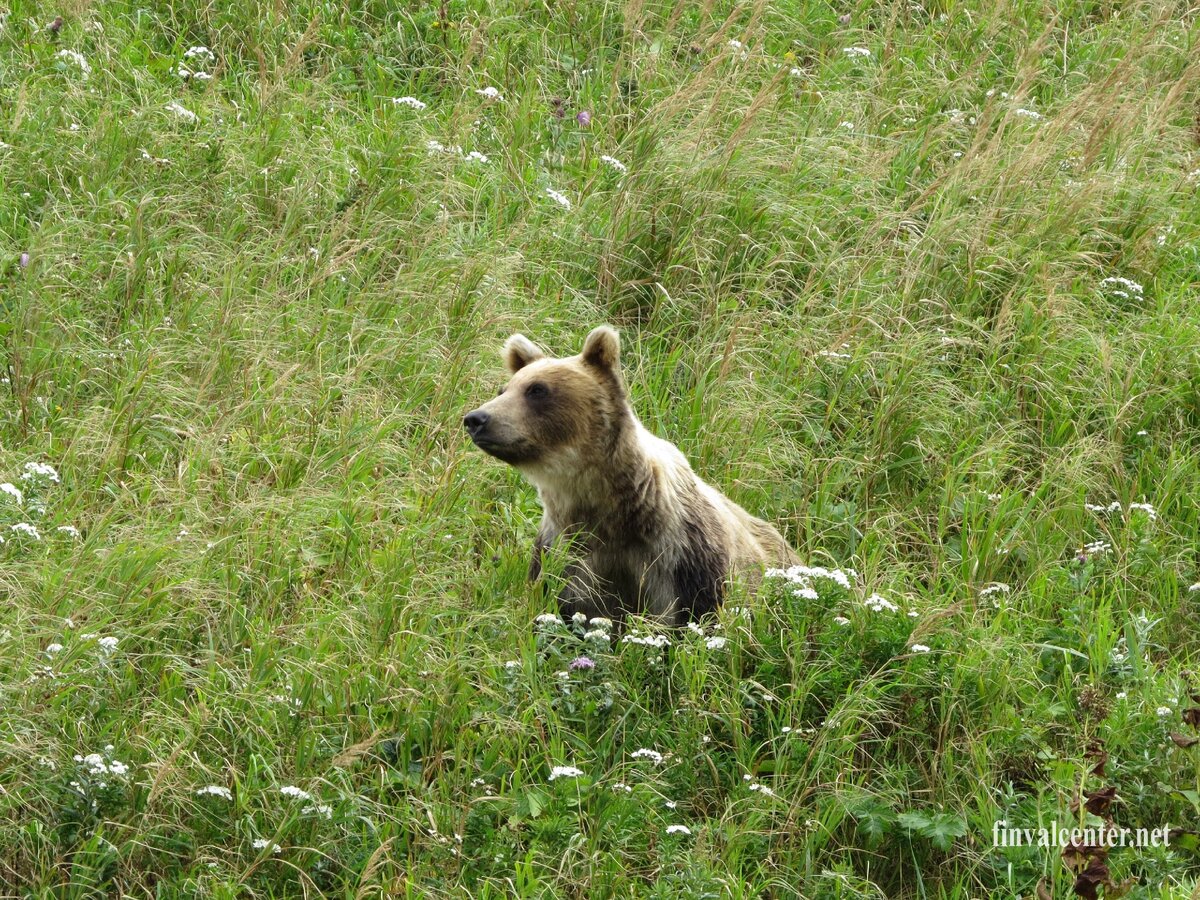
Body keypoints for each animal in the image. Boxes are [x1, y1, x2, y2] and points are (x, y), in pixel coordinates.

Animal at [463, 324, 801, 628]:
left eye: (536, 389)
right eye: (504, 389)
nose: (476, 418)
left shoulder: (678, 557)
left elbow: (696, 614)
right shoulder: (565, 553)